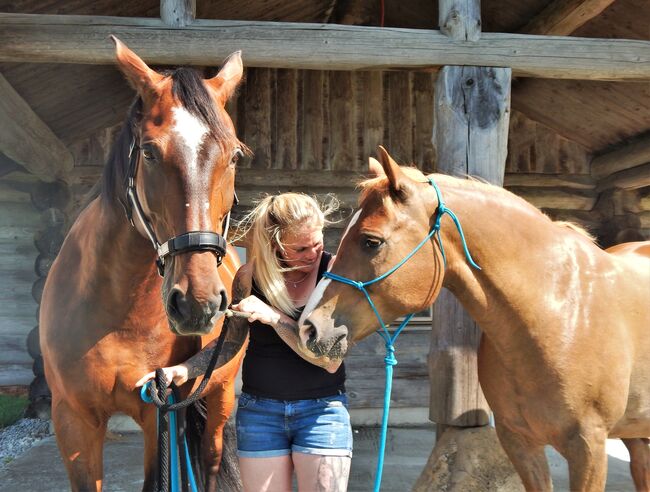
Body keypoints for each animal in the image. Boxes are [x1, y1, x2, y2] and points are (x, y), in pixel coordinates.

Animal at [38, 38, 246, 492]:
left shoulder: (158, 414)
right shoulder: (73, 422)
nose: (198, 303)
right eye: (149, 151)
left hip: (220, 395)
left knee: (212, 459)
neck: (121, 312)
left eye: (235, 156)